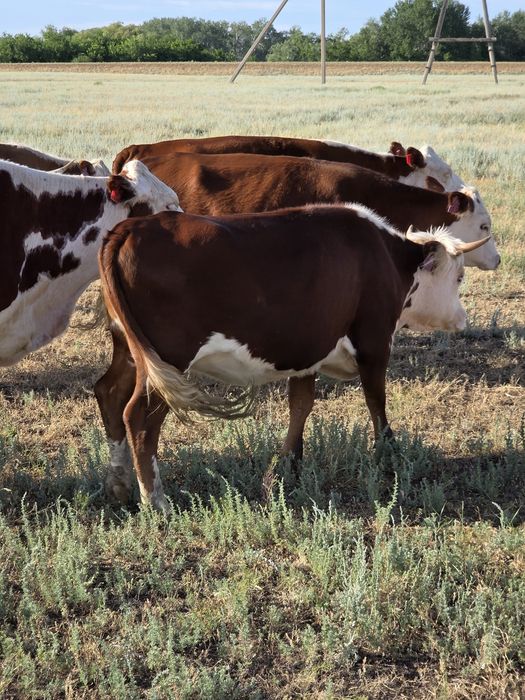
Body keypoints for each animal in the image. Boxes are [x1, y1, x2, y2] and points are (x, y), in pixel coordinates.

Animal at [98, 204, 489, 511]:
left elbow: (300, 406)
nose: (462, 319)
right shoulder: (374, 344)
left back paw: (120, 483)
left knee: (109, 393)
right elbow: (376, 403)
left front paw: (286, 469)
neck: (387, 258)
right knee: (139, 415)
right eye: (459, 276)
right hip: (167, 361)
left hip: (129, 349)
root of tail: (130, 229)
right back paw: (156, 501)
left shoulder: (307, 353)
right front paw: (387, 457)